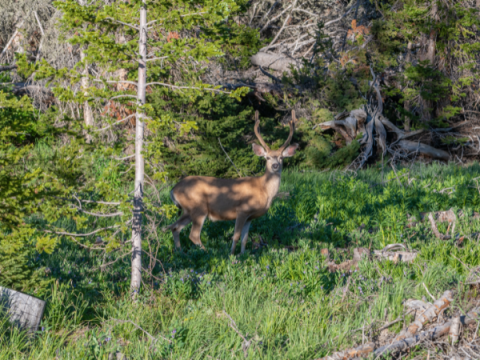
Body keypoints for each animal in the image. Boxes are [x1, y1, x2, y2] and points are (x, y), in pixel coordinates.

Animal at [165, 109, 298, 253]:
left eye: (281, 158)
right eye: (267, 157)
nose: (275, 166)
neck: (263, 189)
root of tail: (173, 190)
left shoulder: (250, 217)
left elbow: (245, 238)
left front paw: (243, 254)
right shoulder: (242, 210)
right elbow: (236, 236)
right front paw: (232, 254)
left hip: (187, 211)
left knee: (175, 227)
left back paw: (180, 252)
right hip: (198, 207)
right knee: (193, 235)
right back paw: (209, 253)